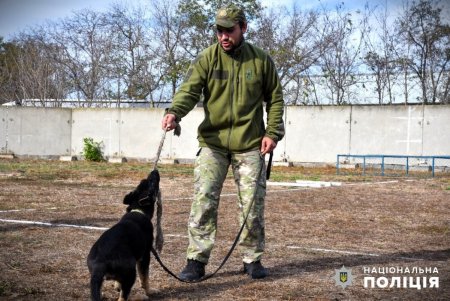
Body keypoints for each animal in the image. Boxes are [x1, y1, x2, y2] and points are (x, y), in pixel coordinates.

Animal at [87, 169, 163, 300]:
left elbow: (119, 283)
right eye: (152, 183)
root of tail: (100, 263)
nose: (155, 170)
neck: (138, 210)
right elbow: (145, 278)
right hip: (131, 273)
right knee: (123, 296)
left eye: (143, 181)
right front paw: (149, 291)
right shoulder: (145, 256)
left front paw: (117, 286)